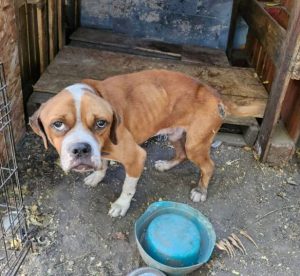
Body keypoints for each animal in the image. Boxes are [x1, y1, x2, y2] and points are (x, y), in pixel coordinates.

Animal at [29, 70, 262, 217]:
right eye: (57, 124)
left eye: (101, 123)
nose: (80, 149)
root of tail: (215, 94)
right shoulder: (101, 153)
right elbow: (102, 164)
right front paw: (97, 176)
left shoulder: (136, 157)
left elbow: (128, 187)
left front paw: (121, 206)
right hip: (175, 135)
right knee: (181, 154)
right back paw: (166, 165)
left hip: (195, 144)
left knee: (209, 166)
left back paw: (200, 190)